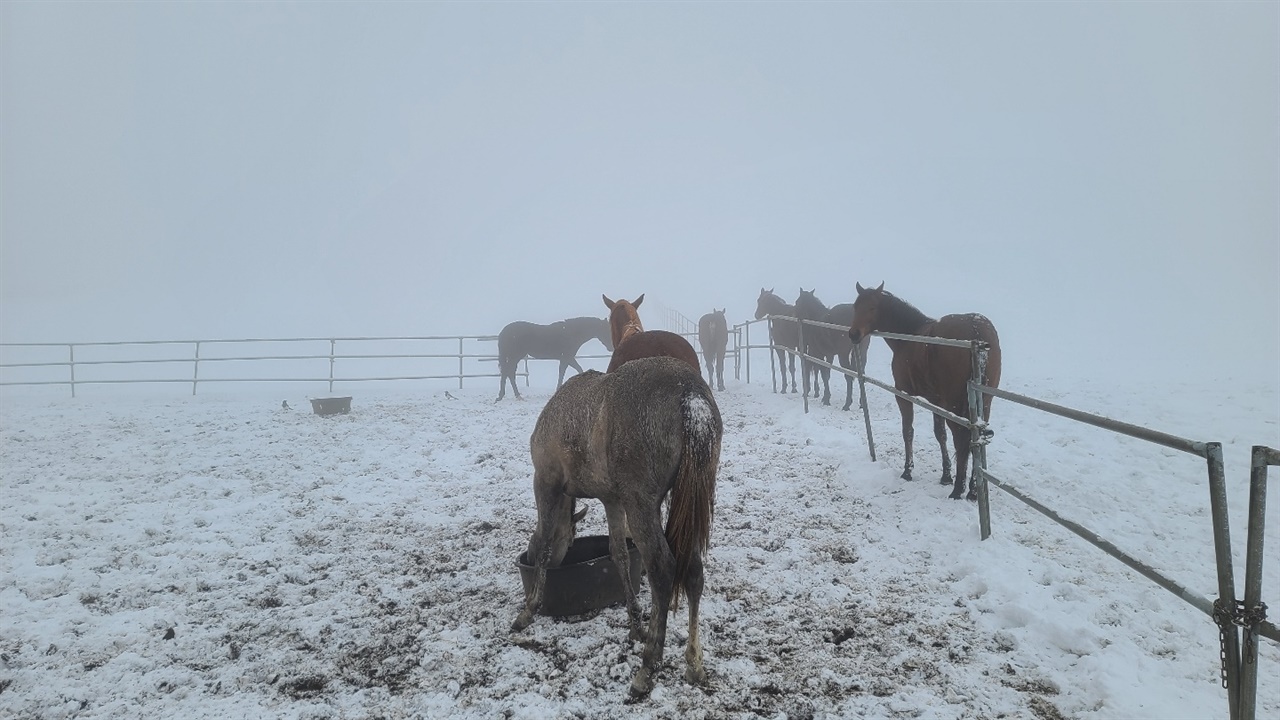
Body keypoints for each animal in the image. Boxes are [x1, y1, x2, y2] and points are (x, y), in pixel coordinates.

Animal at [514, 356, 727, 696]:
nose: (527, 560)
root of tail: (691, 398)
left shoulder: (546, 482)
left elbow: (547, 542)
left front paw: (529, 608)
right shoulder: (612, 500)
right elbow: (619, 554)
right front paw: (635, 624)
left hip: (643, 504)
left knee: (663, 568)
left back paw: (648, 666)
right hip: (691, 502)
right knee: (693, 571)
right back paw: (694, 664)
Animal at [849, 281, 998, 499]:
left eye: (872, 307)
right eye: (855, 306)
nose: (853, 334)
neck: (908, 337)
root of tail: (976, 331)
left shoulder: (904, 395)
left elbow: (908, 431)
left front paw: (907, 471)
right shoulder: (936, 401)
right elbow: (940, 434)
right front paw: (946, 475)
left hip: (956, 406)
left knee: (961, 439)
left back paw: (958, 490)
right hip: (984, 403)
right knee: (974, 439)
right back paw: (972, 490)